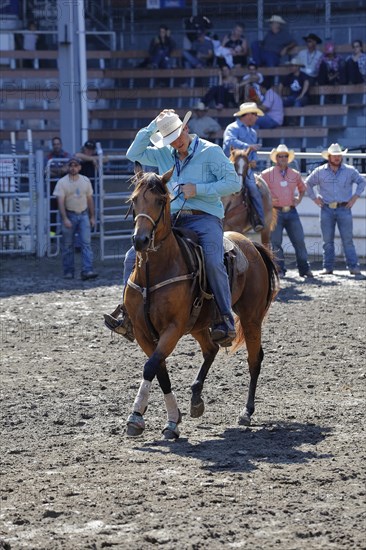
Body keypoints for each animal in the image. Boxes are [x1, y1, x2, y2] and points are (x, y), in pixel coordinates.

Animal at [124, 163, 278, 440]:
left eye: (161, 200)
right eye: (134, 199)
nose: (140, 240)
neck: (154, 272)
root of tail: (251, 245)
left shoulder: (173, 329)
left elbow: (151, 367)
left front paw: (137, 417)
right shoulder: (142, 331)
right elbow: (160, 370)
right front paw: (172, 419)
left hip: (250, 318)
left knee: (254, 359)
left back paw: (246, 412)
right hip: (199, 324)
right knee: (211, 349)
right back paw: (196, 398)